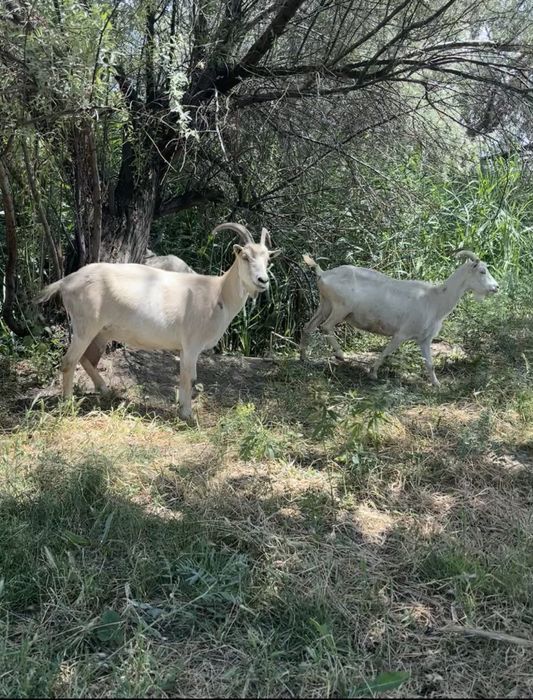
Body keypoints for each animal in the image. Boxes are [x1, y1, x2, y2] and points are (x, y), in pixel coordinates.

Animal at [37, 223, 280, 418]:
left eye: (268, 258)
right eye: (245, 256)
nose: (263, 280)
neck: (217, 294)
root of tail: (66, 281)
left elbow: (187, 377)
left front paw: (182, 409)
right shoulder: (191, 345)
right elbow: (189, 378)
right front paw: (187, 415)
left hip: (101, 332)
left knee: (87, 359)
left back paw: (106, 391)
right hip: (84, 326)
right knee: (69, 361)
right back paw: (68, 405)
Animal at [301, 250, 499, 385]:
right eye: (482, 271)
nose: (496, 287)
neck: (434, 300)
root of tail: (323, 274)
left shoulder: (425, 339)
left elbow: (430, 364)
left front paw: (437, 384)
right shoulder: (402, 334)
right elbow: (386, 352)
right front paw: (373, 373)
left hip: (325, 305)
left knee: (308, 326)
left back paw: (303, 358)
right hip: (341, 308)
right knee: (326, 327)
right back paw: (340, 355)